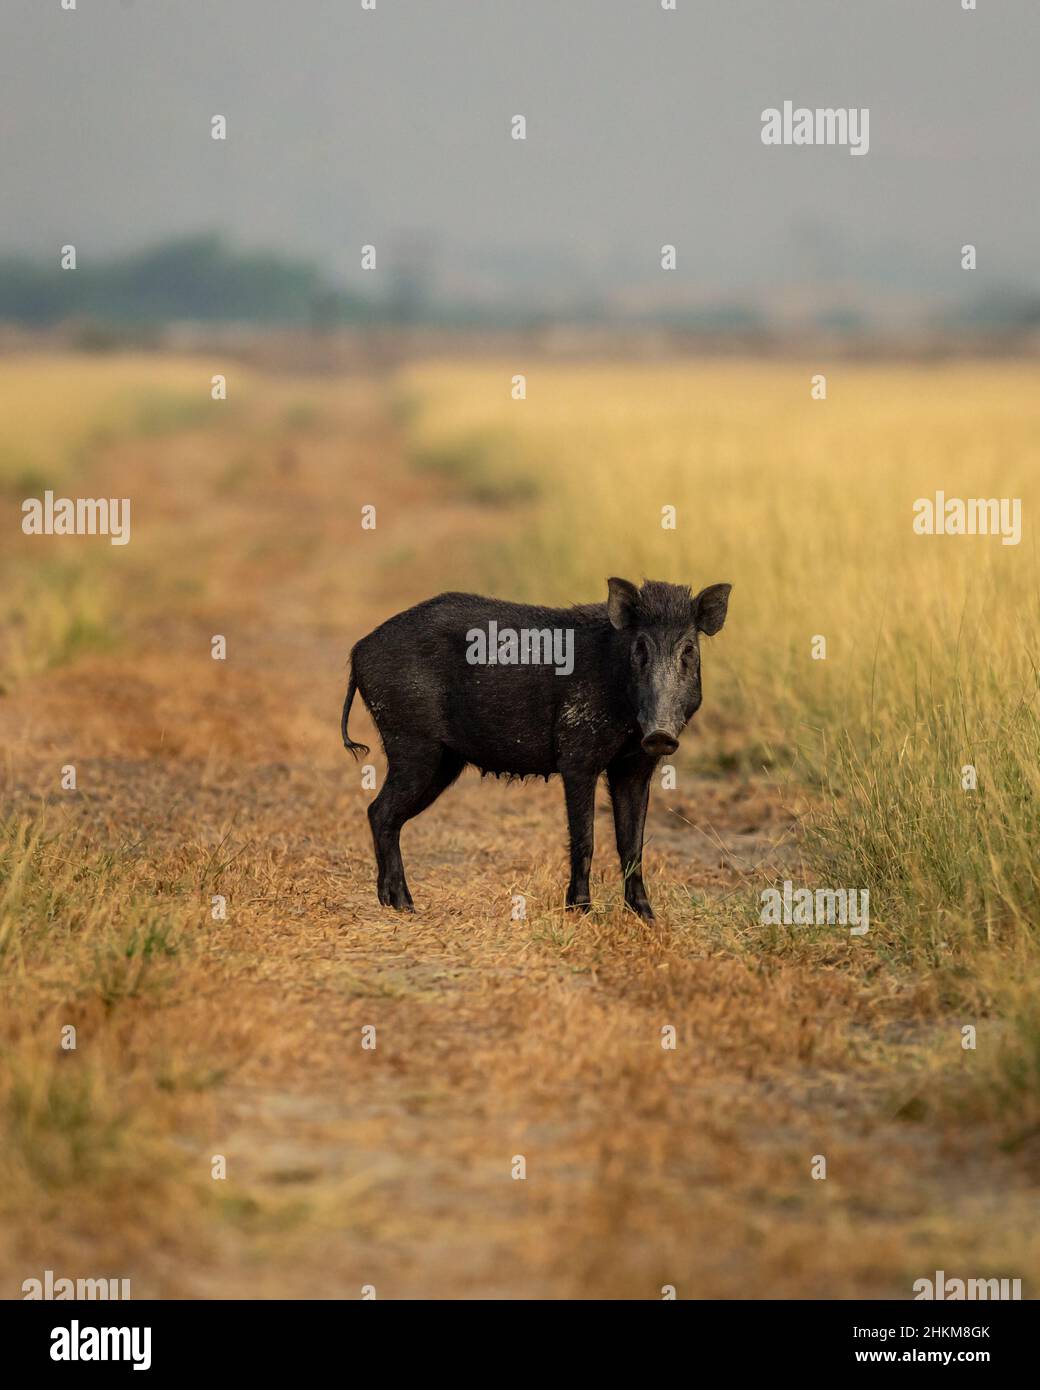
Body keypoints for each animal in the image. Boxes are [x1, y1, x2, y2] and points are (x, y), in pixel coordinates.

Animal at [341, 577, 731, 920]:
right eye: (640, 649)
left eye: (689, 650)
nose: (660, 734)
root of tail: (358, 651)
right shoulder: (577, 758)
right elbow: (585, 838)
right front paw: (581, 913)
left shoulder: (635, 768)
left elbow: (632, 844)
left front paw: (648, 918)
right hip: (412, 745)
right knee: (379, 811)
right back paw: (405, 905)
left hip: (442, 761)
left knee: (384, 815)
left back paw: (395, 903)